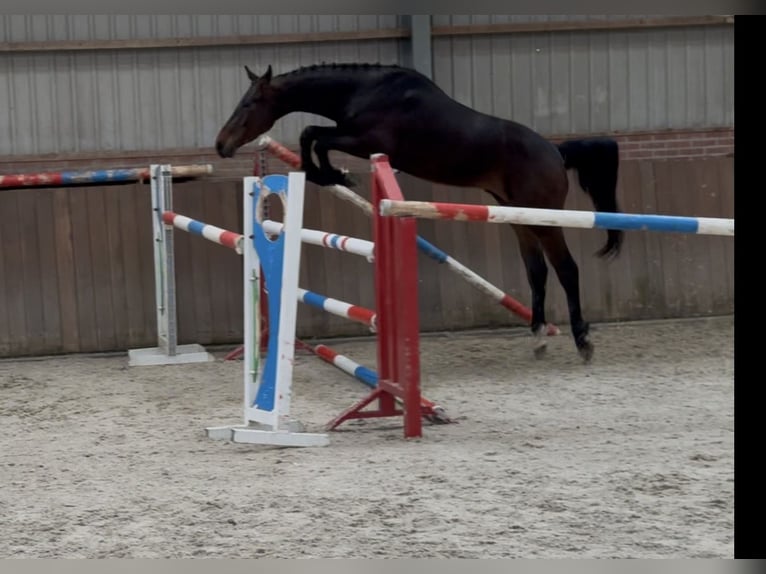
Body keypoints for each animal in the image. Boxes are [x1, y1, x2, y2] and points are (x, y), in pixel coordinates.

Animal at [215, 63, 623, 362]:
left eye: (250, 104)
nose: (221, 145)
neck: (365, 92)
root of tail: (555, 151)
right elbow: (313, 135)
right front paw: (332, 174)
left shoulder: (365, 141)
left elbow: (314, 134)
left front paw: (333, 174)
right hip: (517, 217)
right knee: (537, 272)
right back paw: (538, 338)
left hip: (546, 218)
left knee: (567, 269)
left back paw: (583, 342)